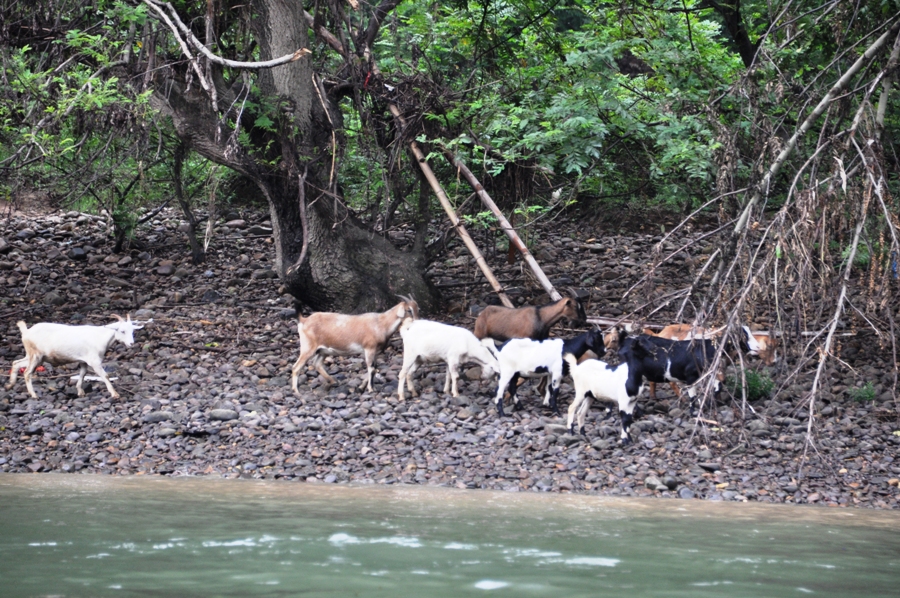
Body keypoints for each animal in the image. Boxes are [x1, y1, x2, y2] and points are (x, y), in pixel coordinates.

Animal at [7, 316, 148, 400]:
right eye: (122, 331)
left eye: (132, 331)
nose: (131, 343)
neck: (100, 337)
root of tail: (26, 332)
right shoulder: (94, 361)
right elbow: (105, 376)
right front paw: (114, 394)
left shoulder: (83, 361)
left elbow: (83, 374)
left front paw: (80, 391)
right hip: (35, 355)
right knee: (27, 373)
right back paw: (34, 394)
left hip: (34, 356)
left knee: (16, 363)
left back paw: (10, 384)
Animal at [290, 296, 420, 398]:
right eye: (409, 310)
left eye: (417, 308)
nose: (417, 321)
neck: (381, 323)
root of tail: (304, 320)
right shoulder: (369, 349)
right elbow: (371, 368)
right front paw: (370, 389)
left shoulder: (376, 351)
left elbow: (374, 368)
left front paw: (362, 387)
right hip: (308, 347)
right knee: (296, 367)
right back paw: (296, 391)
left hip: (323, 351)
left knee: (317, 364)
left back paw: (333, 381)